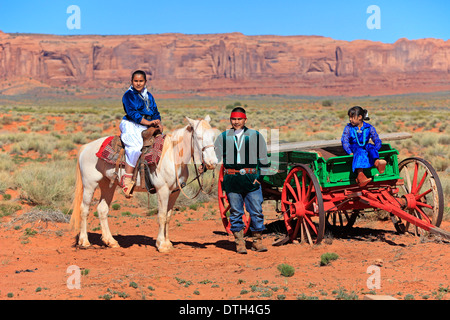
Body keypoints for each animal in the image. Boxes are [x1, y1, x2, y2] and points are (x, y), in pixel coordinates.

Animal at [69, 115, 219, 252]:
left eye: (213, 137)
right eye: (198, 137)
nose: (212, 163)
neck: (173, 156)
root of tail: (85, 147)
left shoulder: (174, 192)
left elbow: (168, 216)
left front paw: (168, 242)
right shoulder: (163, 190)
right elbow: (162, 216)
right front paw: (161, 244)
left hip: (108, 185)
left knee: (102, 209)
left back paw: (110, 241)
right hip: (90, 185)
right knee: (84, 209)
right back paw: (84, 241)